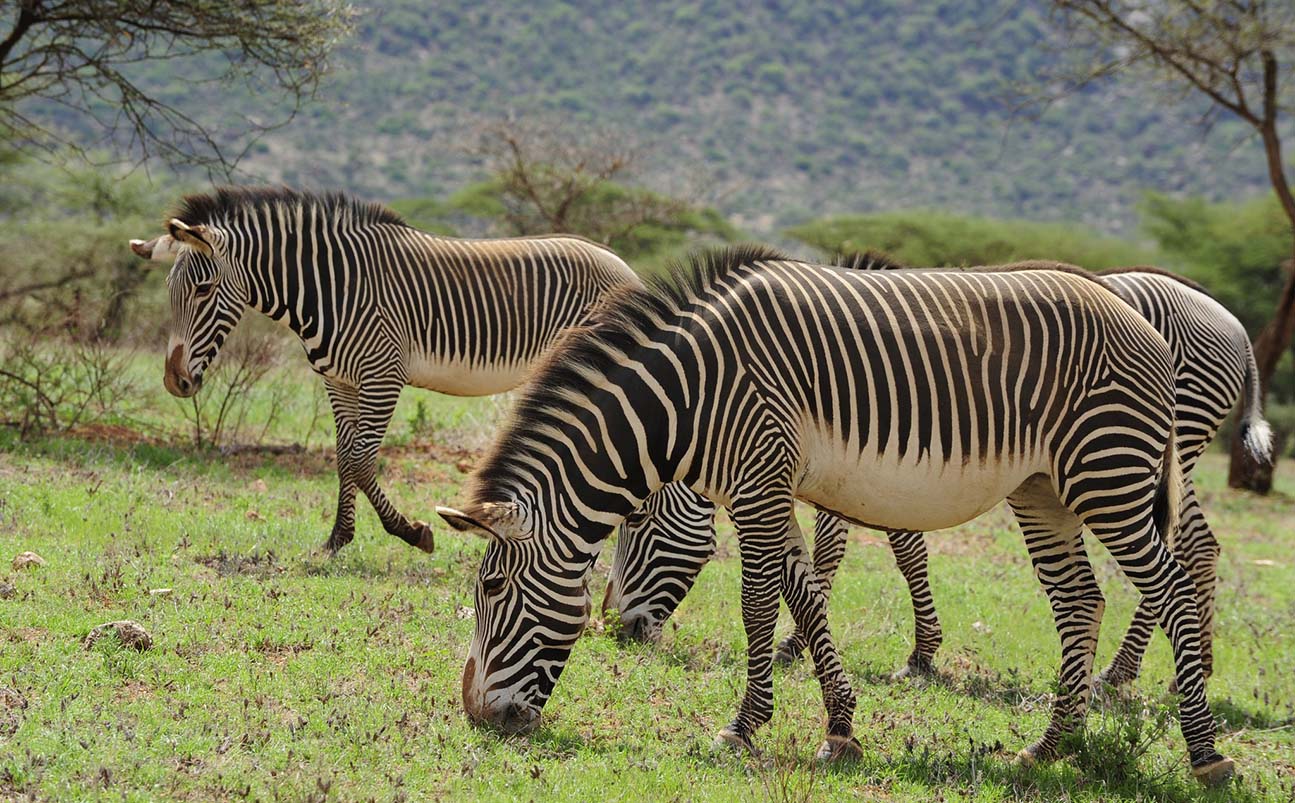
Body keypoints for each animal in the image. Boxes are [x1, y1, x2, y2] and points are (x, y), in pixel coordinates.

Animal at [128, 185, 639, 554]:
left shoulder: (382, 376)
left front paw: (411, 532)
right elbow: (342, 456)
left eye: (203, 290)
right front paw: (338, 539)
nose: (175, 382)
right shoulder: (339, 380)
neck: (329, 289)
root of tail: (625, 268)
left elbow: (360, 459)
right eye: (170, 289)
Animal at [606, 260, 1274, 689]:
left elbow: (884, 549)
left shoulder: (865, 455)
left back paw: (1131, 672)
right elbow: (854, 549)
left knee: (1183, 549)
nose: (620, 630)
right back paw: (1188, 668)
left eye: (637, 527)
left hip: (1145, 452)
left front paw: (911, 653)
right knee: (1200, 545)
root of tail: (1238, 327)